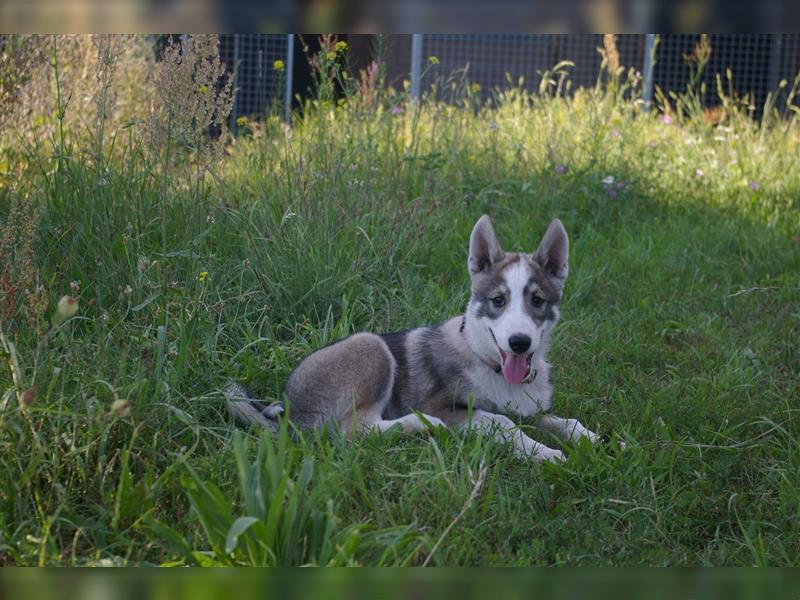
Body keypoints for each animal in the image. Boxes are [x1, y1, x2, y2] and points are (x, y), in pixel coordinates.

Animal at [228, 216, 608, 464]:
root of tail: (287, 407)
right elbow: (502, 422)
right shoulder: (445, 406)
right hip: (371, 347)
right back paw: (421, 425)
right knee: (353, 431)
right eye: (498, 300)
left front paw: (598, 440)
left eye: (537, 301)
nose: (519, 343)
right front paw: (545, 452)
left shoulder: (531, 409)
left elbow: (564, 421)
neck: (490, 364)